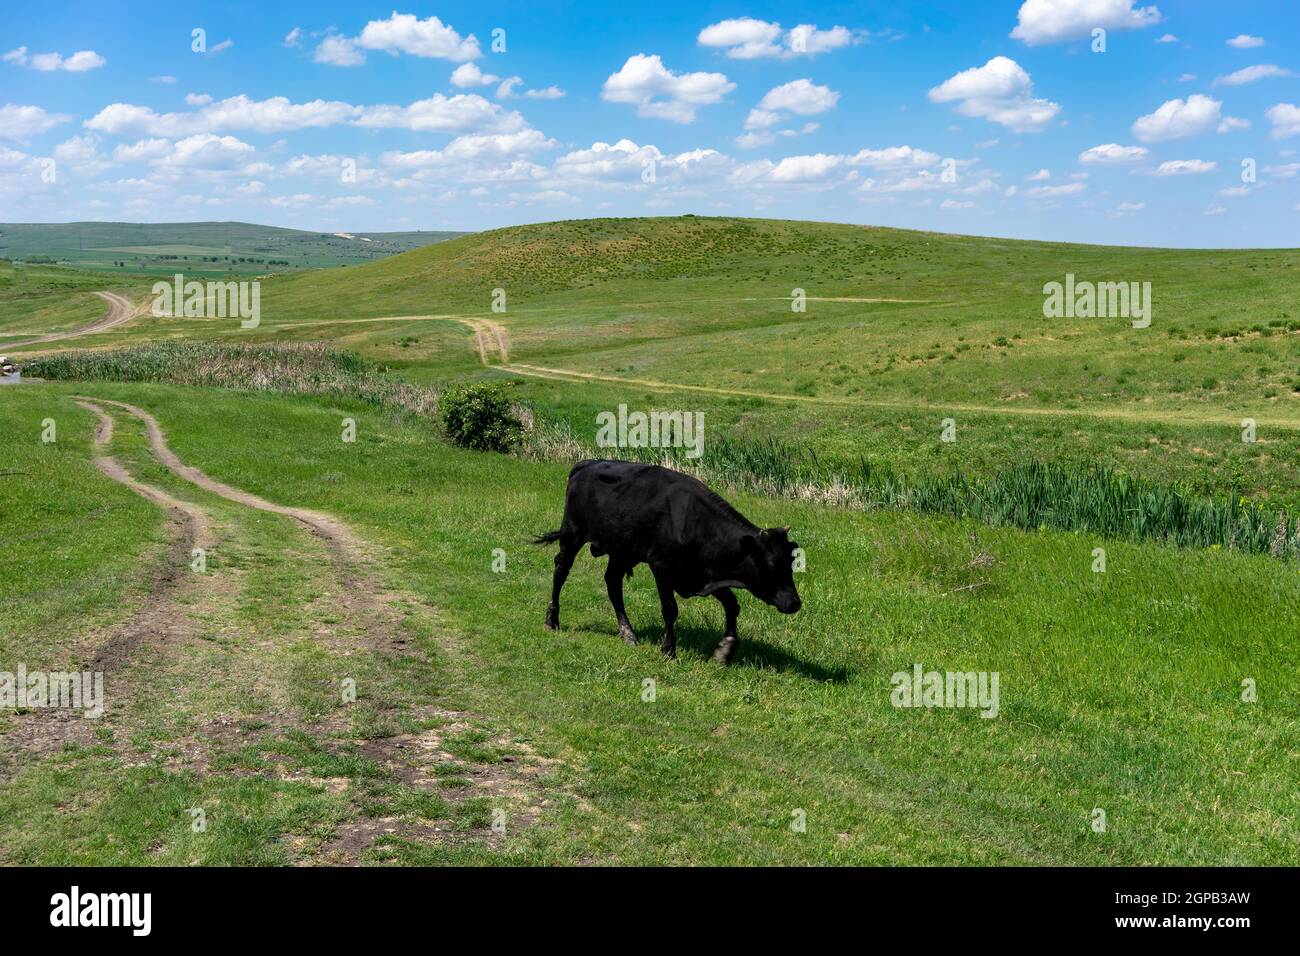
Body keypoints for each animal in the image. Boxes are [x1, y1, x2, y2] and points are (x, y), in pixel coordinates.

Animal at [534, 459, 802, 663]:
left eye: (791, 562)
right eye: (771, 565)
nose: (795, 603)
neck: (698, 524)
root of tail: (586, 463)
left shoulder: (703, 573)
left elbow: (732, 605)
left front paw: (726, 648)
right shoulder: (661, 567)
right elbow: (670, 609)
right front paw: (668, 650)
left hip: (621, 550)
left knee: (613, 583)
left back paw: (627, 633)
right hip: (572, 534)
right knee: (561, 570)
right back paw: (551, 619)